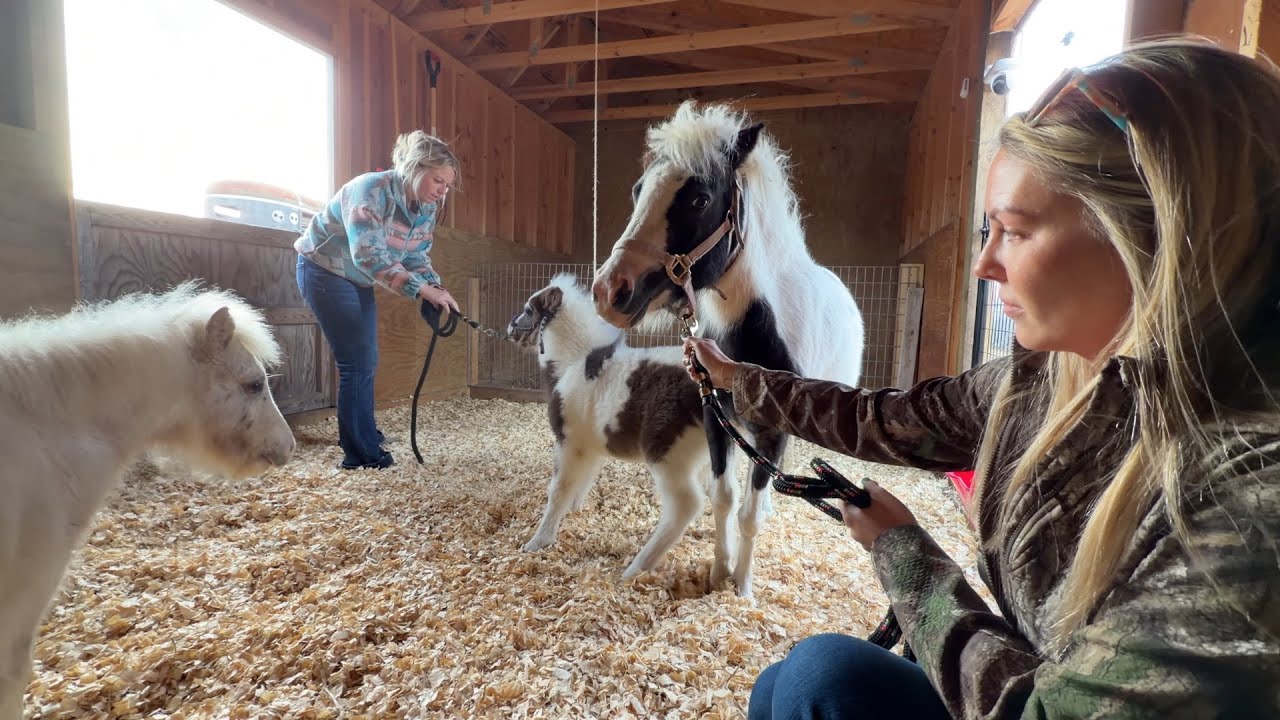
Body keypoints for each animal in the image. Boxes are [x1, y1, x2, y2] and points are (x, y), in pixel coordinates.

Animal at [508, 274, 740, 587]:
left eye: (529, 309)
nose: (510, 327)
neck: (573, 361)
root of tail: (710, 387)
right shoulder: (590, 446)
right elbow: (583, 481)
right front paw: (574, 511)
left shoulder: (568, 440)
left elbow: (558, 488)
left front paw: (538, 541)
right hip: (718, 452)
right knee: (725, 496)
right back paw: (721, 569)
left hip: (668, 453)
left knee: (687, 504)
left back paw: (636, 568)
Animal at [591, 100, 866, 598]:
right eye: (639, 190)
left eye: (700, 199)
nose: (609, 291)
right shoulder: (716, 419)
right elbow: (724, 498)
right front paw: (718, 572)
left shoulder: (774, 432)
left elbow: (750, 514)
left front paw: (742, 586)